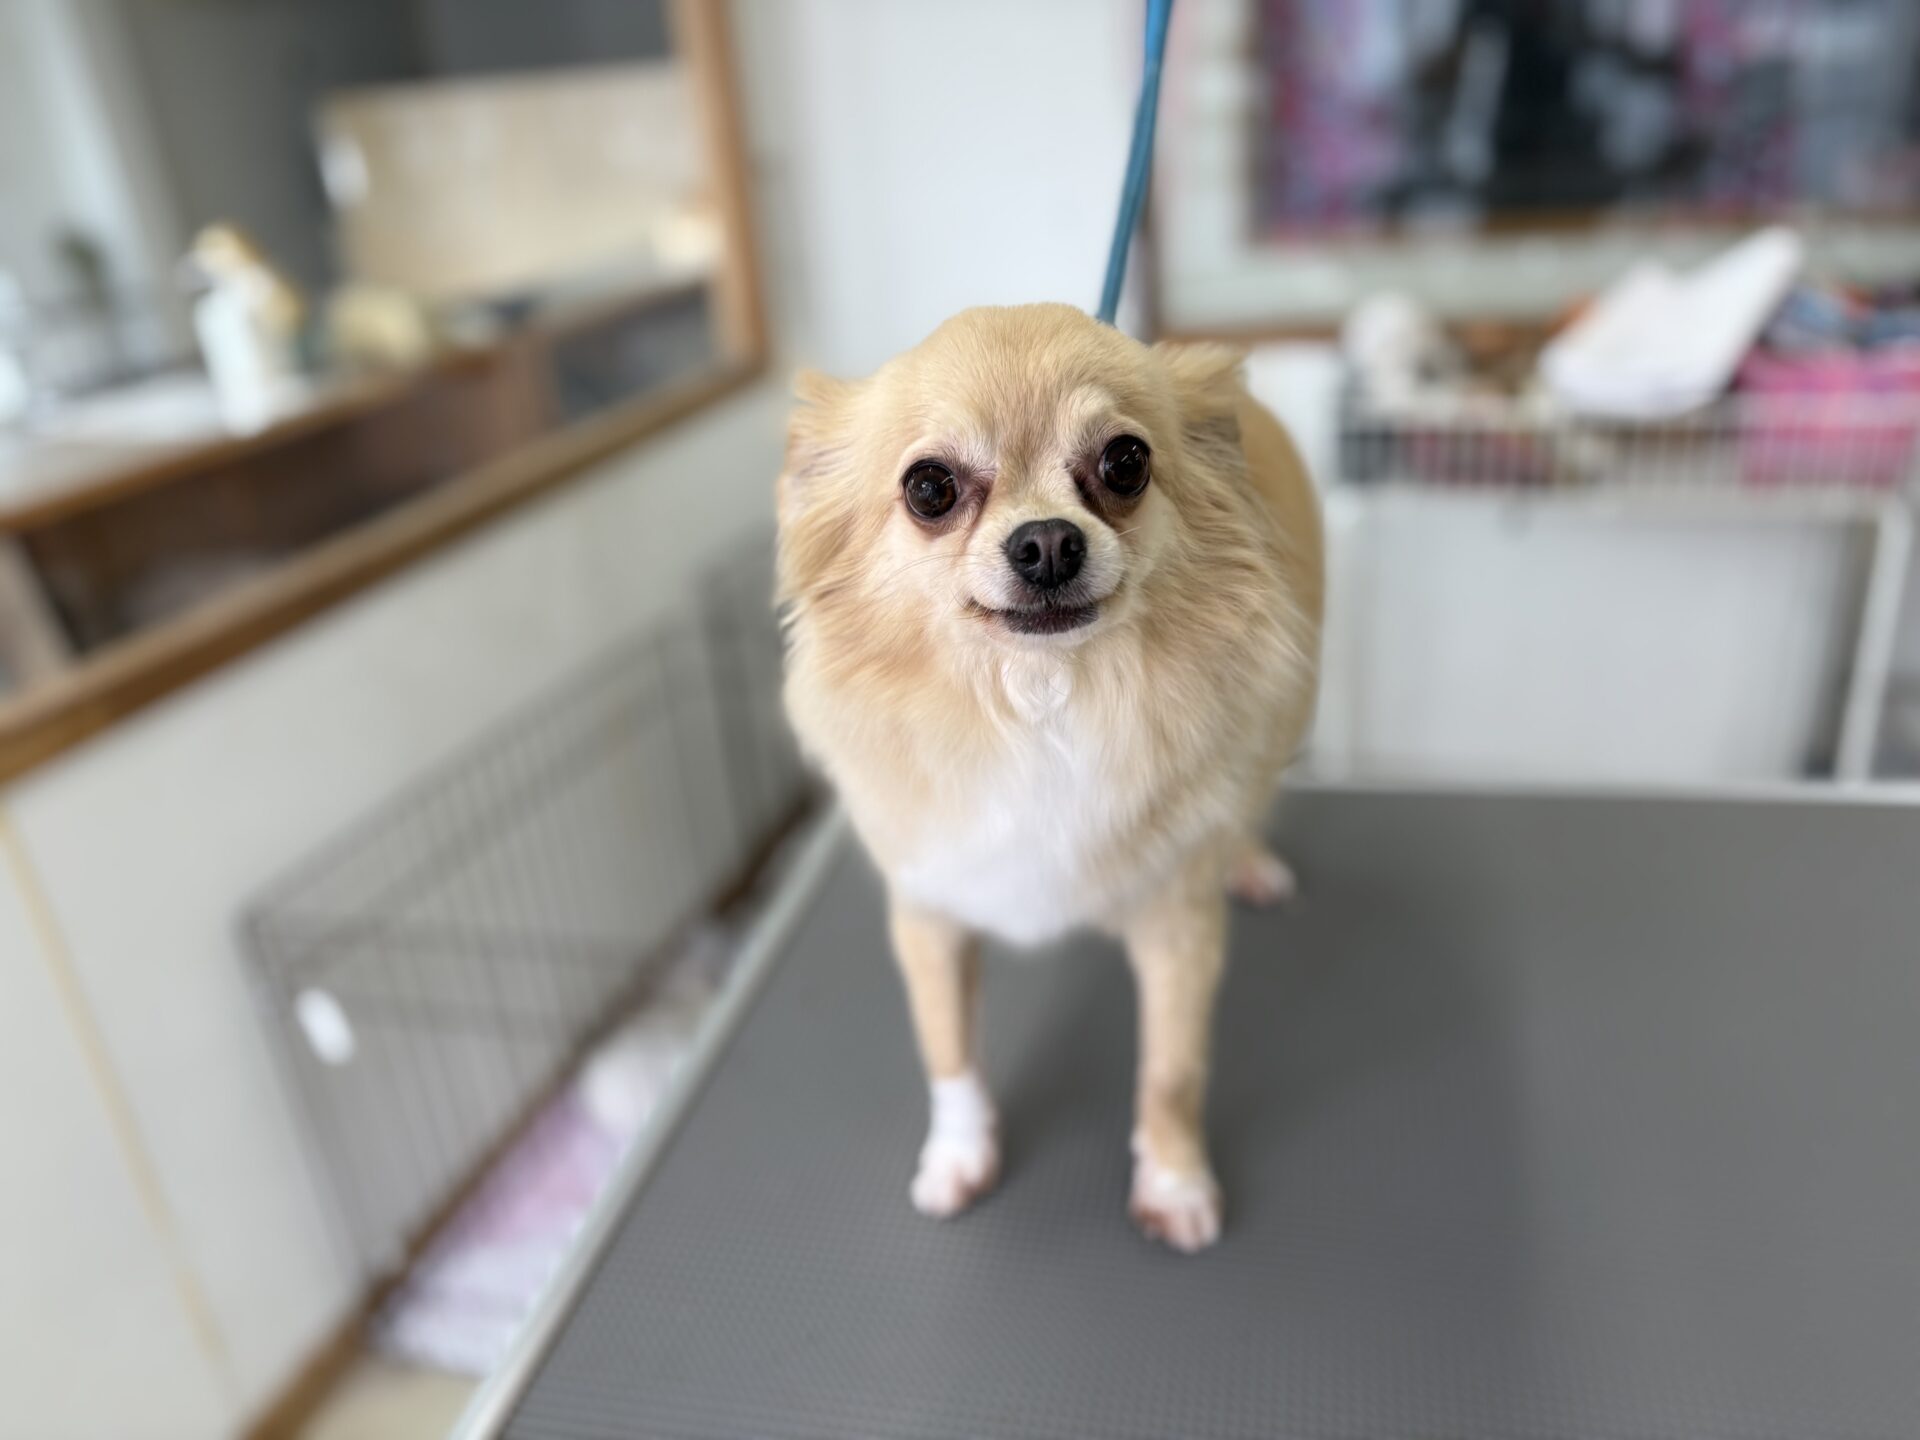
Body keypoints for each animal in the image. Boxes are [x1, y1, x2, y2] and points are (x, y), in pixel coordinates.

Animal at [777, 303, 1323, 1251]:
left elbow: (1172, 1072)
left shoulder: (1179, 924)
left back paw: (1248, 859)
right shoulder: (928, 913)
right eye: (929, 488)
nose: (1046, 540)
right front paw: (959, 1157)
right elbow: (949, 1053)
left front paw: (1174, 1182)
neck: (1040, 704)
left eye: (1126, 462)